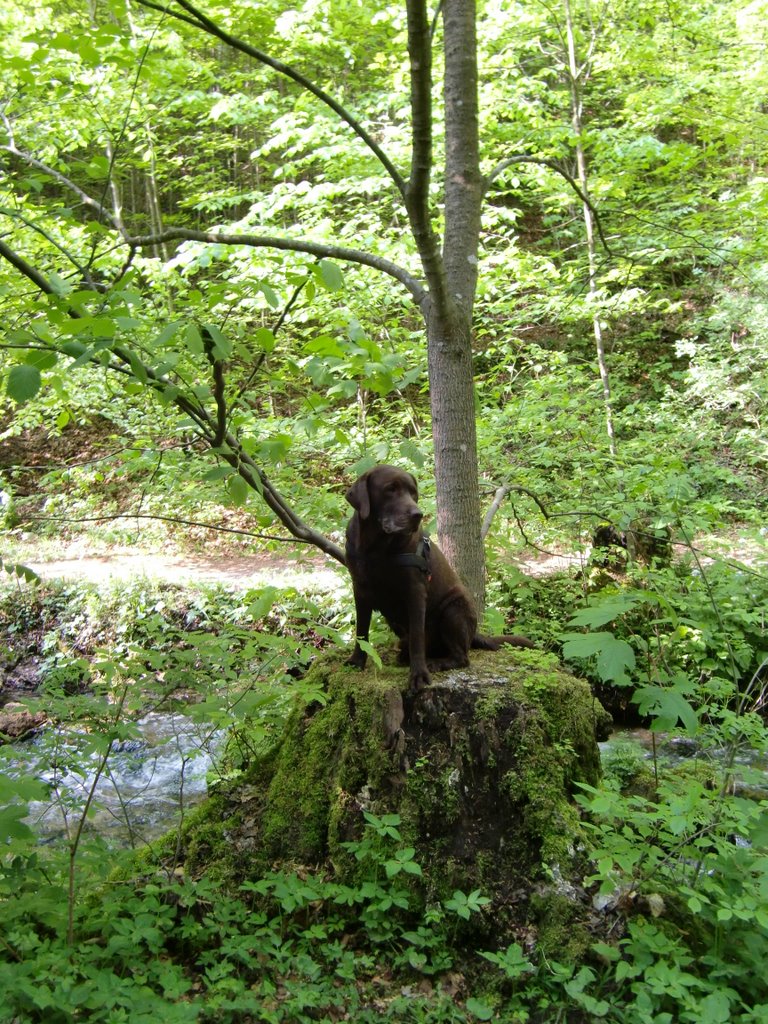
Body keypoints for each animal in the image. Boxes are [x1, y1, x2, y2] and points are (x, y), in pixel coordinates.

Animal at [346, 464, 532, 688]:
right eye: (390, 489)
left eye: (413, 493)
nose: (417, 514)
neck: (376, 548)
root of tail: (473, 634)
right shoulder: (360, 590)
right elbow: (361, 632)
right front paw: (356, 661)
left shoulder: (416, 592)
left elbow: (417, 638)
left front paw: (418, 674)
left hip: (453, 610)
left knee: (461, 657)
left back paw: (434, 663)